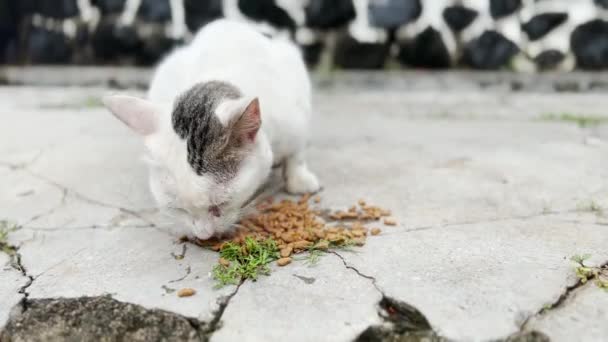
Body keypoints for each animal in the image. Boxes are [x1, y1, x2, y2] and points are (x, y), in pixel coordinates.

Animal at [102, 18, 320, 239]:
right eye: (179, 208)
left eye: (220, 205)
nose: (204, 236)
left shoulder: (295, 118)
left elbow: (297, 152)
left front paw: (299, 179)